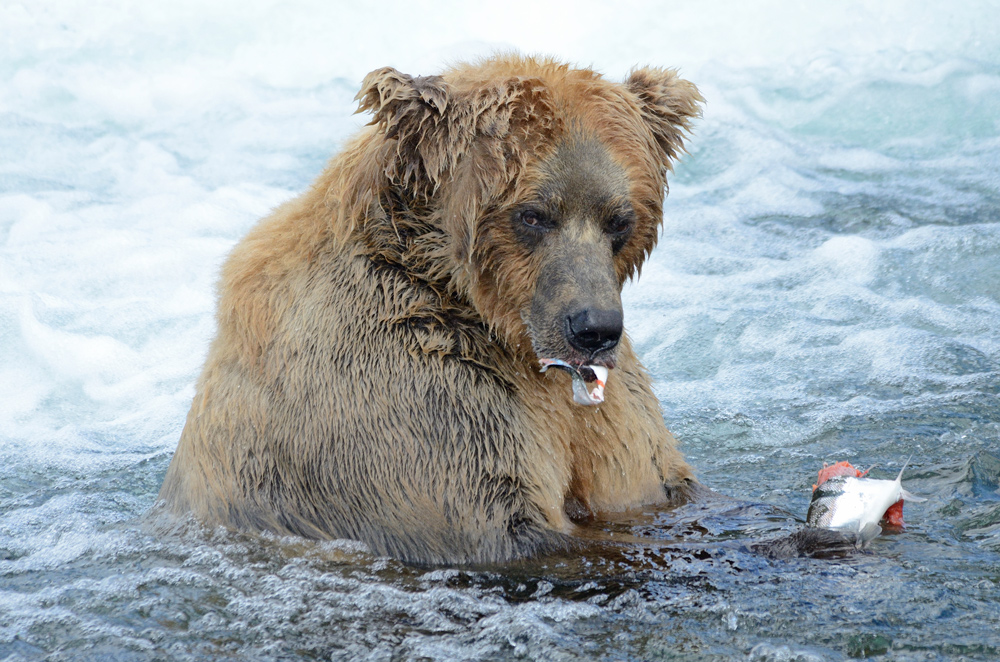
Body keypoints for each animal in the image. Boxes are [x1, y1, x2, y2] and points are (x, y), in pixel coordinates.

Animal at [156, 54, 704, 568]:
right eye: (532, 214)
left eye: (619, 219)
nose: (594, 328)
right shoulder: (407, 385)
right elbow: (499, 518)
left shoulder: (608, 409)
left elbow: (651, 477)